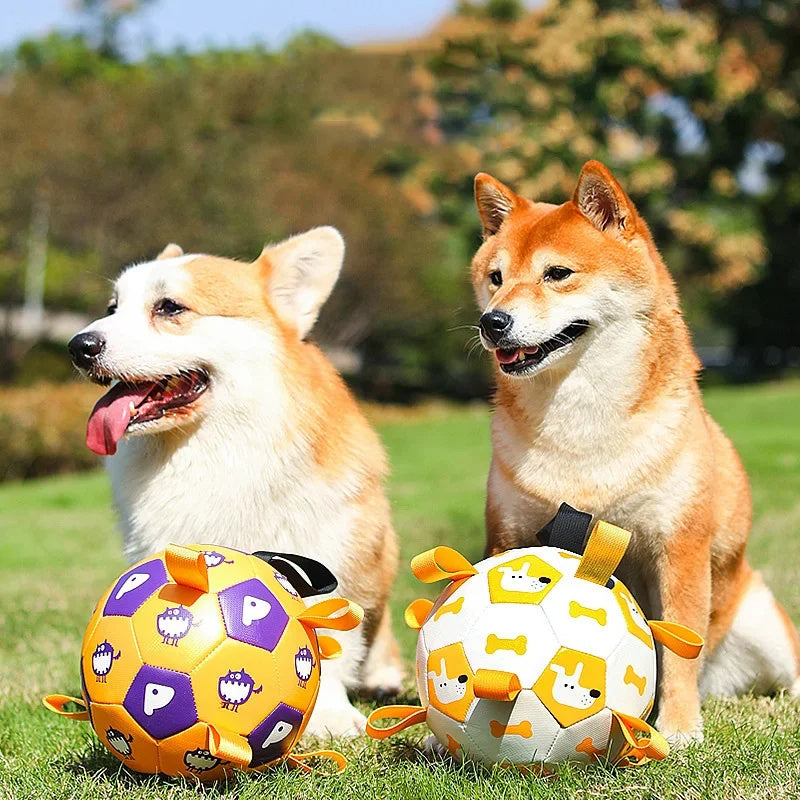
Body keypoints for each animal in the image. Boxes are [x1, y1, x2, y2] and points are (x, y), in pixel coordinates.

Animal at [68, 227, 404, 736]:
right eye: (112, 307)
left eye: (169, 307)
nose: (78, 346)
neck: (210, 451)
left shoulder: (333, 547)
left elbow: (331, 636)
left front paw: (329, 714)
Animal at [468, 161, 800, 744]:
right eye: (496, 278)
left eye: (557, 273)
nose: (493, 322)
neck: (580, 424)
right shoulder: (509, 533)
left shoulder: (679, 545)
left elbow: (679, 649)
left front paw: (681, 729)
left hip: (762, 620)